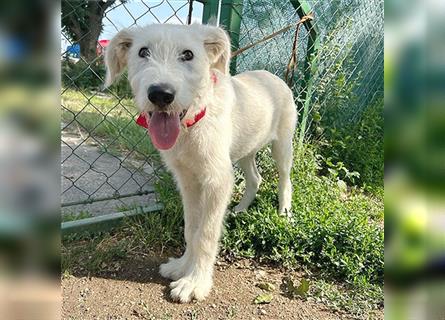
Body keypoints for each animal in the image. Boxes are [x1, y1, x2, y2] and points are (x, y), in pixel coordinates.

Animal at [105, 23, 294, 302]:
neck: (191, 125)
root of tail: (275, 76)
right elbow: (191, 230)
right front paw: (182, 266)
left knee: (284, 181)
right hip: (245, 150)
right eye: (142, 52)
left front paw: (195, 283)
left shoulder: (217, 181)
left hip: (282, 146)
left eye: (188, 55)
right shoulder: (188, 181)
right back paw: (240, 209)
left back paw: (284, 213)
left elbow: (205, 234)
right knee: (255, 178)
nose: (161, 94)